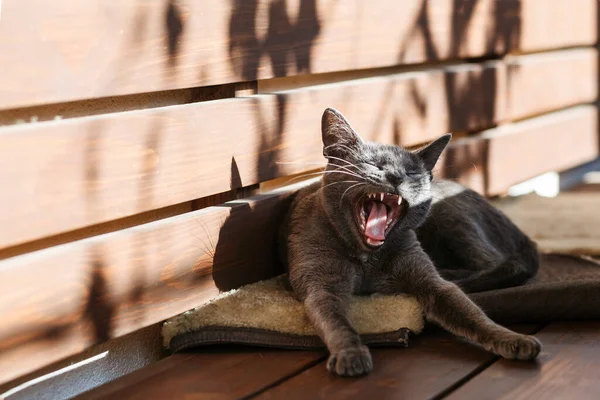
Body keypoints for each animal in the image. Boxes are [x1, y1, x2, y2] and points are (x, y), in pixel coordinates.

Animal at [278, 108, 540, 376]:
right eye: (373, 164)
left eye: (411, 172)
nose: (396, 176)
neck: (367, 260)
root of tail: (522, 235)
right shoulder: (321, 282)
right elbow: (335, 320)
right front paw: (351, 355)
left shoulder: (429, 279)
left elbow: (471, 314)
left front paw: (514, 340)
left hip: (451, 216)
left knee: (498, 263)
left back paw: (453, 273)